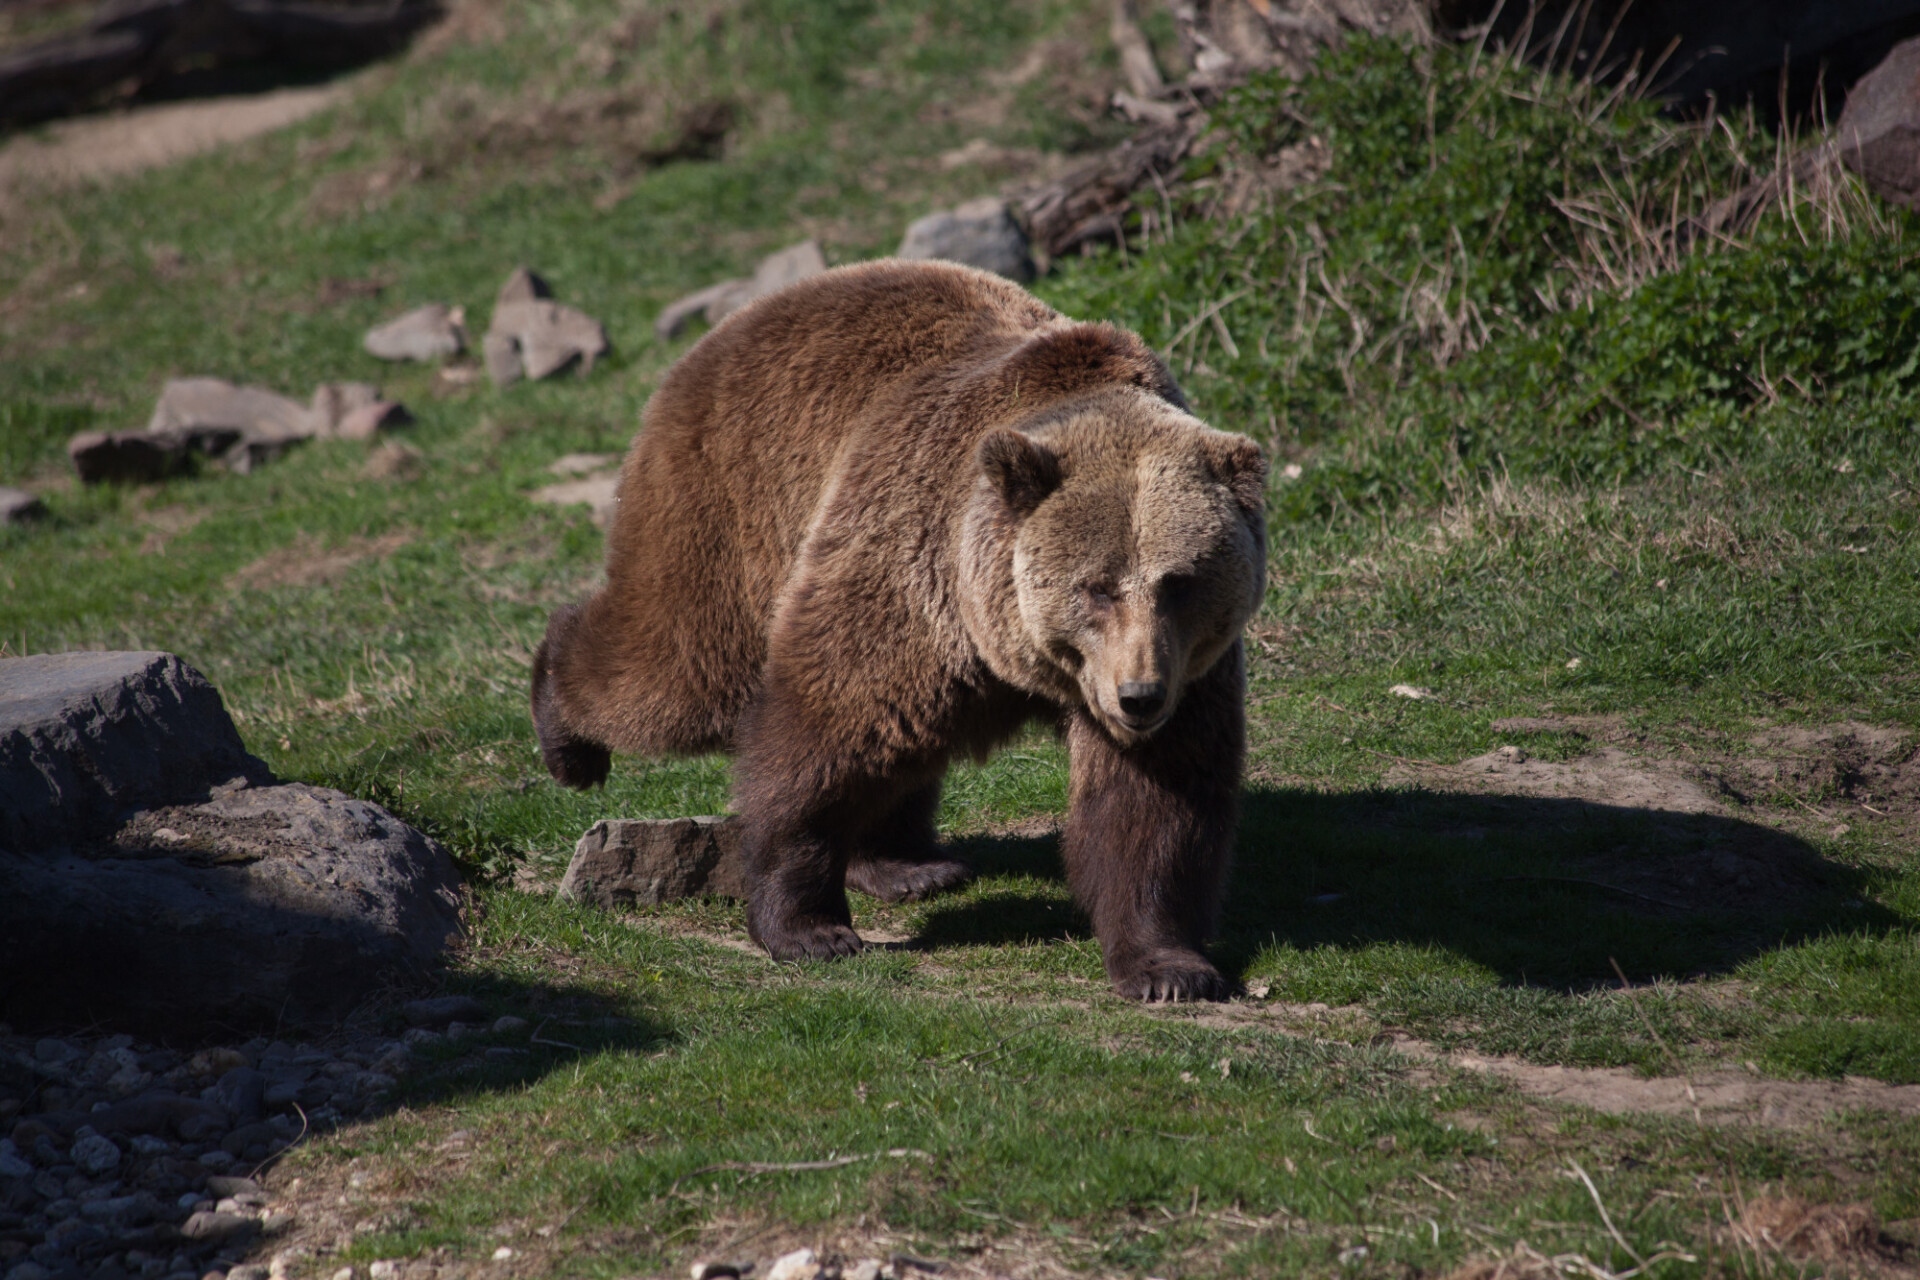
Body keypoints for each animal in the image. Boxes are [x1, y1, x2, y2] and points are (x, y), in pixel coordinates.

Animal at [533, 257, 1267, 997]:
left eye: (1179, 582)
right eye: (1097, 587)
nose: (1138, 696)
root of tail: (737, 321)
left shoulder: (1187, 670)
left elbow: (1156, 798)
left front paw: (1168, 966)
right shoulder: (912, 562)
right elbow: (825, 735)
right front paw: (810, 929)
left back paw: (906, 866)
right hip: (730, 506)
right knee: (681, 670)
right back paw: (568, 736)